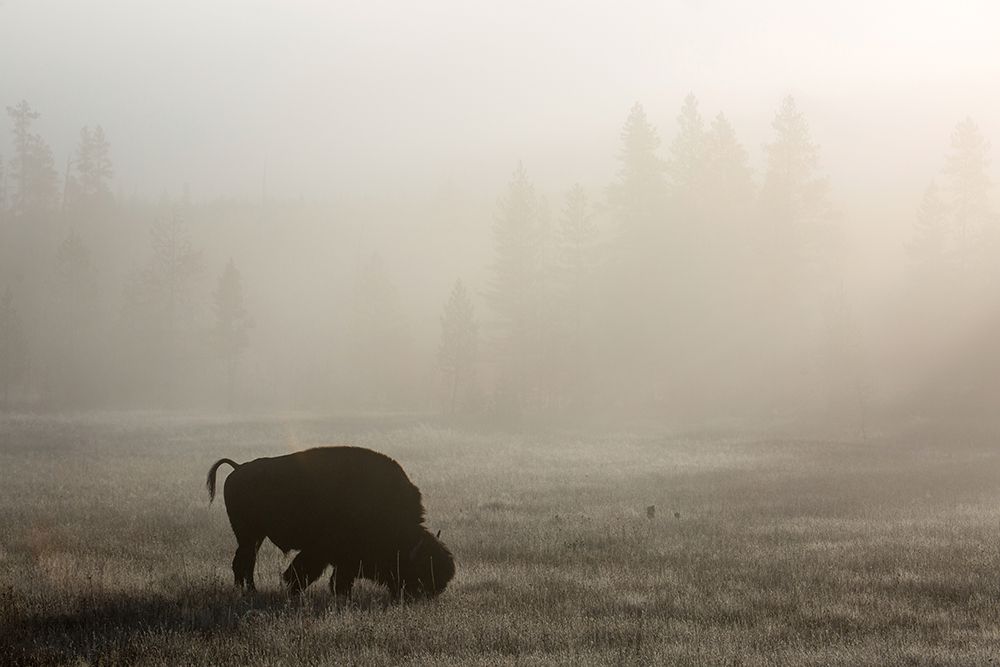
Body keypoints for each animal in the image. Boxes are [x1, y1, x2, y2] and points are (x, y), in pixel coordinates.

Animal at [206, 446, 454, 601]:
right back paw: (249, 592)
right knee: (244, 561)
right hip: (249, 534)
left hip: (255, 536)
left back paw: (248, 591)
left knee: (245, 561)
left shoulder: (342, 559)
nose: (425, 595)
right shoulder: (323, 552)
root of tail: (239, 468)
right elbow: (306, 573)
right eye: (420, 569)